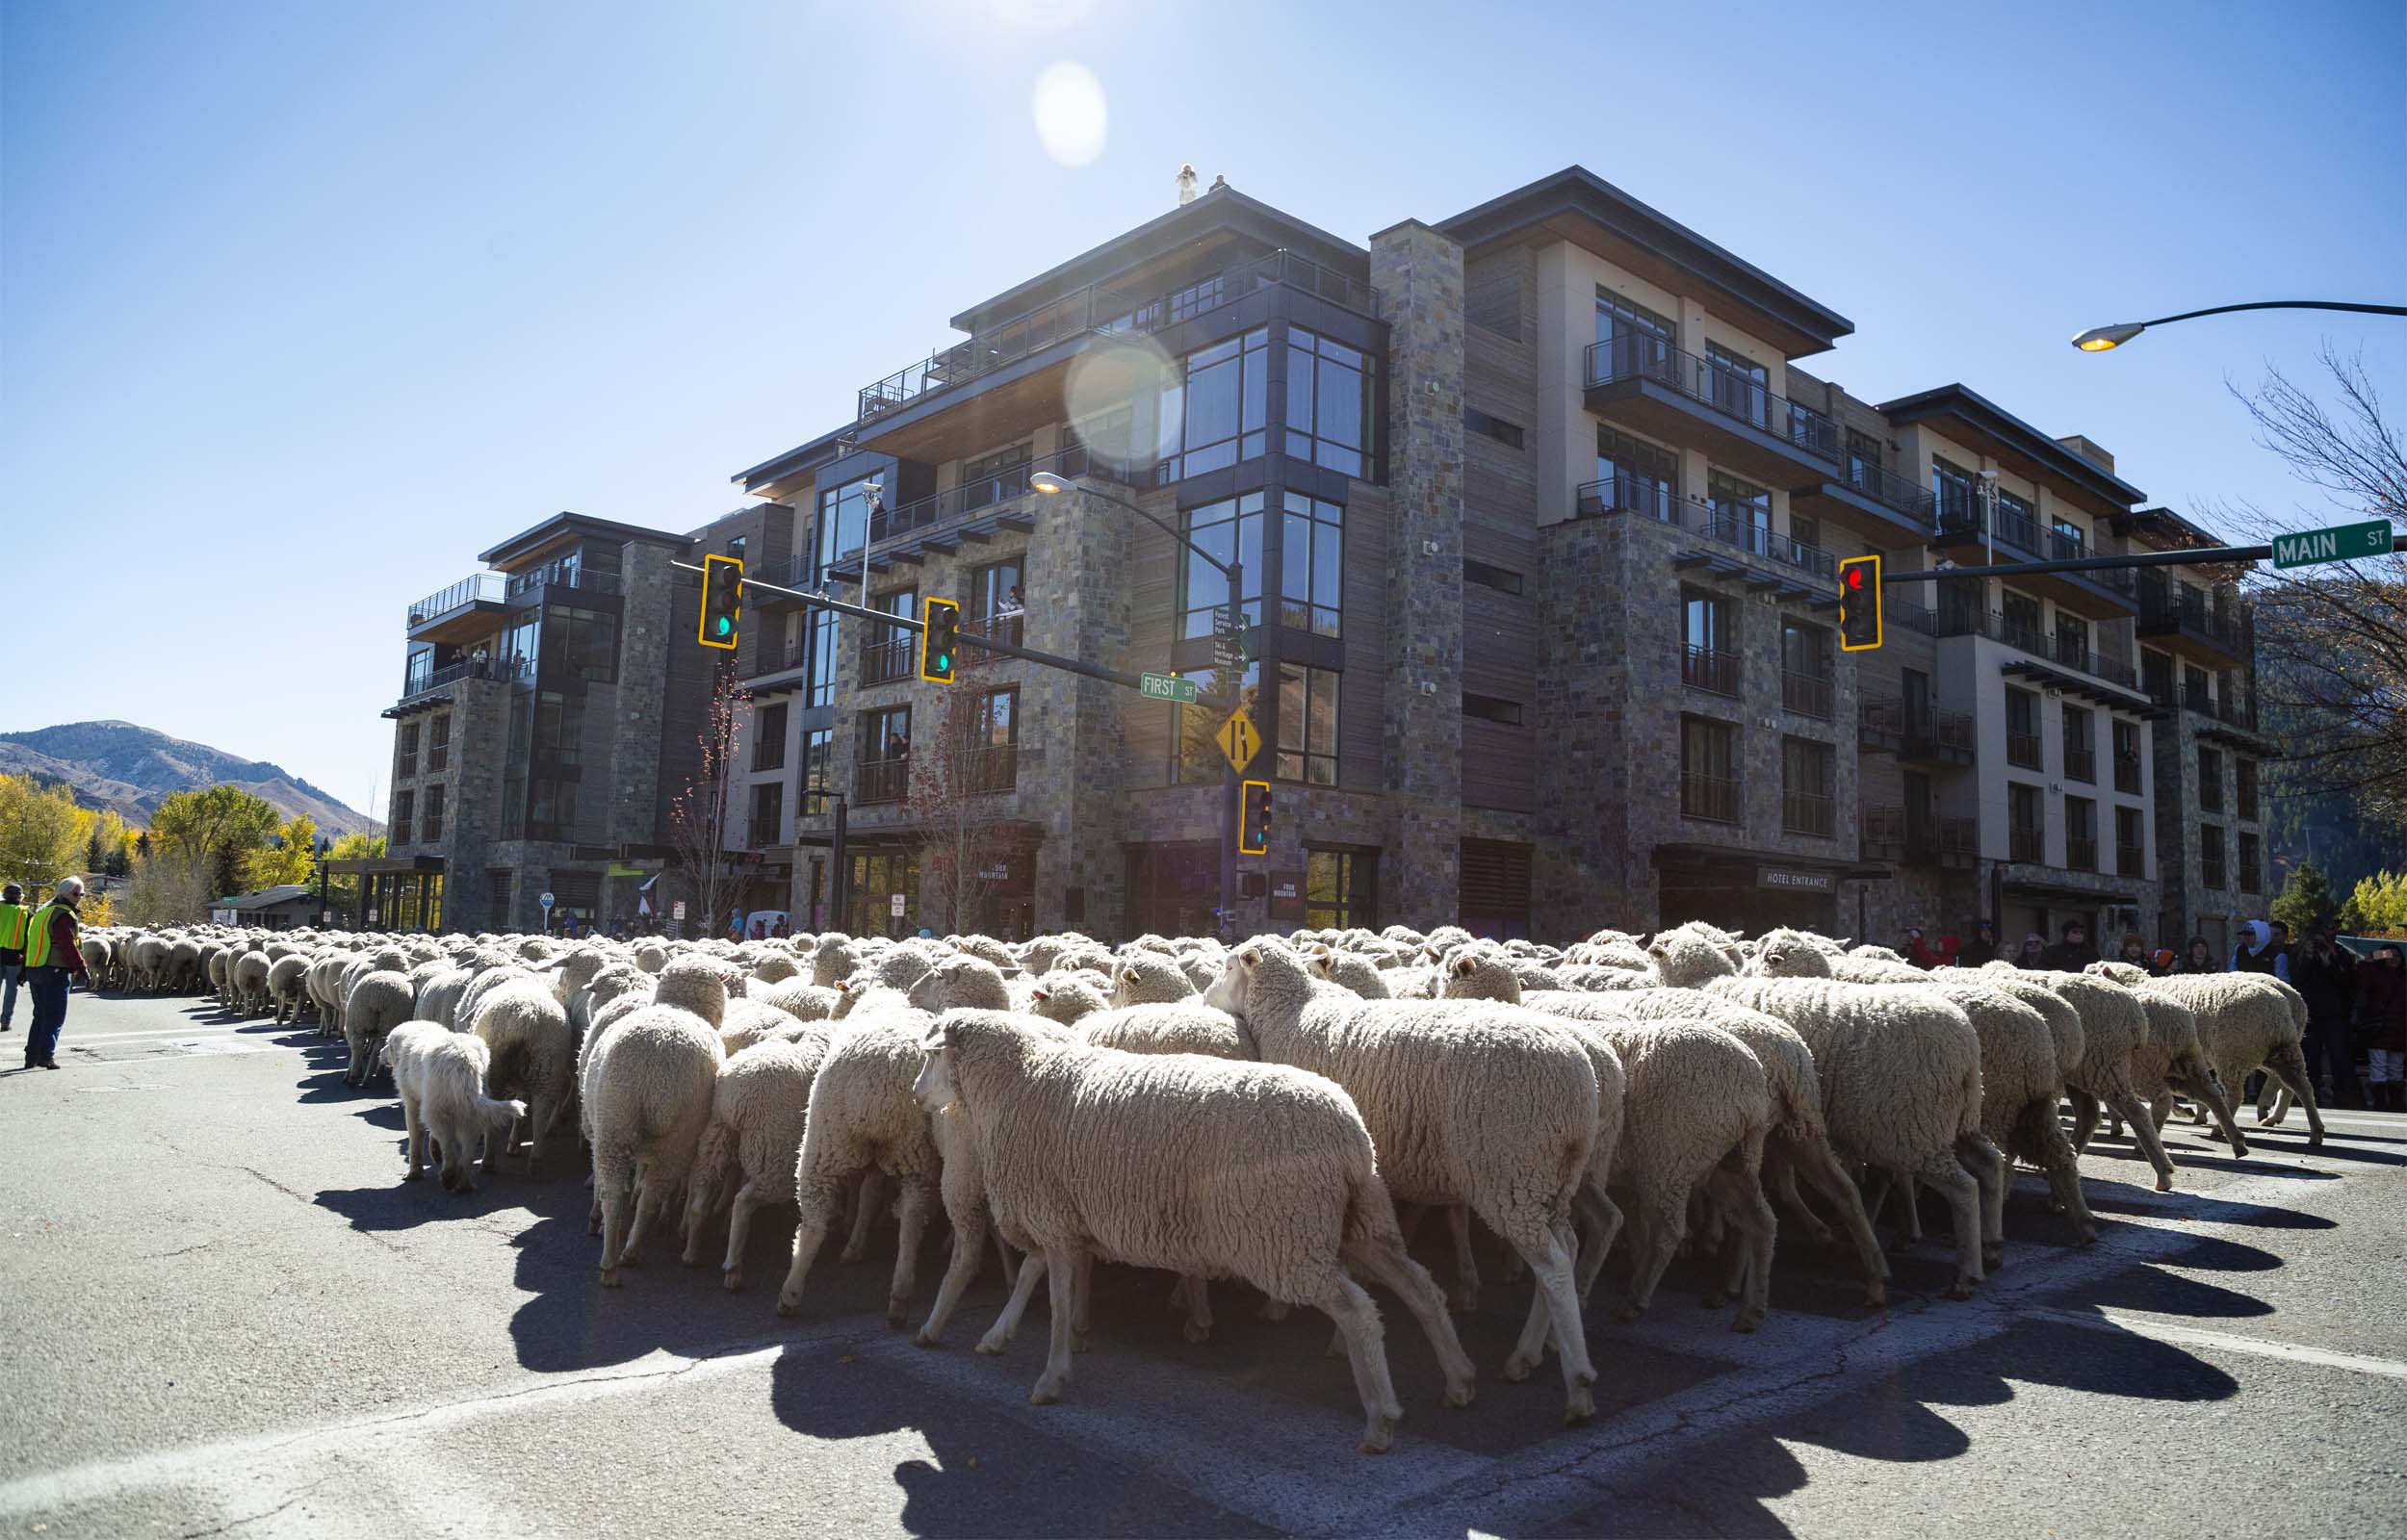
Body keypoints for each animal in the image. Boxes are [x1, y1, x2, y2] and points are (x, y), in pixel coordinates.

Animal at [382, 1020, 525, 1194]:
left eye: (387, 1044)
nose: (380, 1053)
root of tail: (464, 1058)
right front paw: (434, 1152)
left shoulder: (413, 1103)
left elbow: (415, 1139)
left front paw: (414, 1172)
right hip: (470, 1107)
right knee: (467, 1149)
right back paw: (464, 1183)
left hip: (437, 1109)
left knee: (449, 1146)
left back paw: (449, 1176)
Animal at [1199, 938, 1608, 1424]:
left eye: (1227, 967)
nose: (1204, 999)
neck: (1289, 1013)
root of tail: (1580, 1087)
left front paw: (1287, 1312)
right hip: (1553, 1180)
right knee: (1568, 1246)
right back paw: (1528, 1354)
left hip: (1510, 1170)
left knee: (1553, 1265)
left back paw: (1577, 1385)